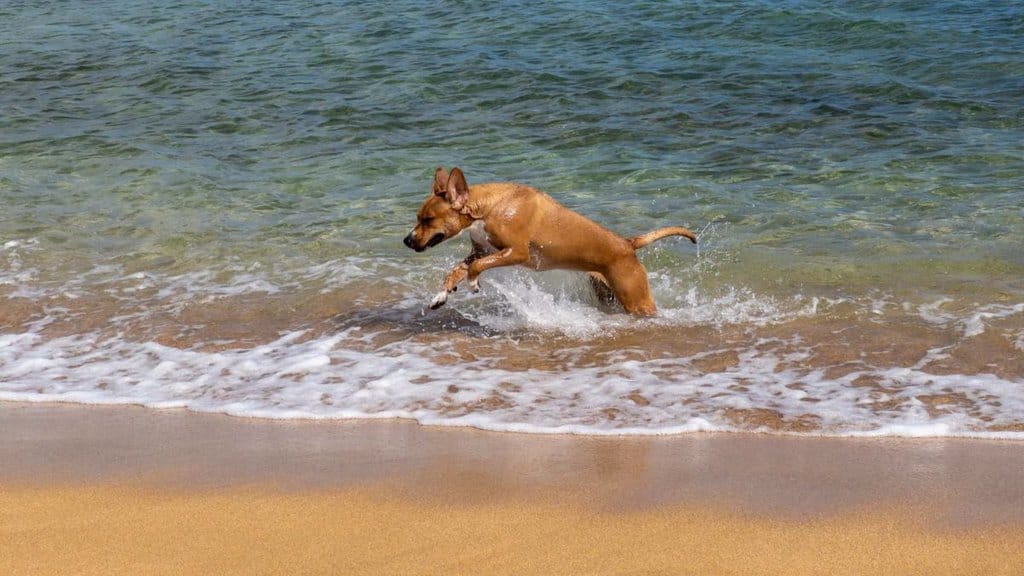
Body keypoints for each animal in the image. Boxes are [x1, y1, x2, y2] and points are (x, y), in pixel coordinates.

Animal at [403, 168, 700, 313]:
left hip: (635, 298)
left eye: (428, 220)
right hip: (607, 292)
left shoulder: (517, 253)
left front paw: (474, 282)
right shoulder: (481, 249)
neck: (490, 207)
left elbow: (476, 268)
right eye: (418, 217)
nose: (407, 240)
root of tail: (627, 243)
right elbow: (456, 270)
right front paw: (442, 294)